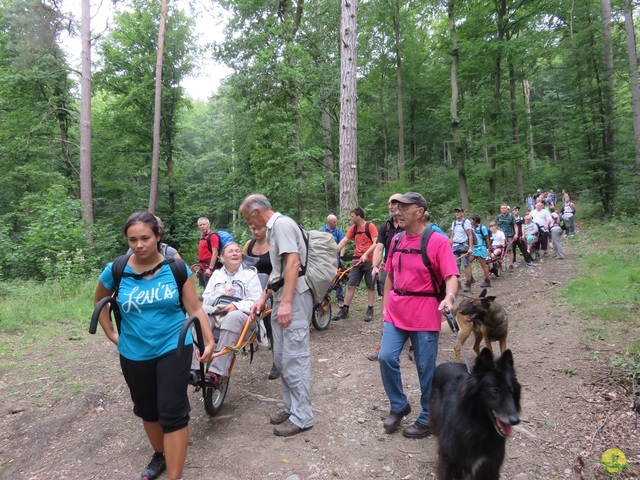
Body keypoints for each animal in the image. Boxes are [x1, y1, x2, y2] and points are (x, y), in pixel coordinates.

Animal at [430, 348, 520, 480]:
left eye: (511, 390)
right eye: (494, 390)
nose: (515, 420)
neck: (480, 427)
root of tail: (444, 364)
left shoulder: (490, 467)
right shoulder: (450, 464)